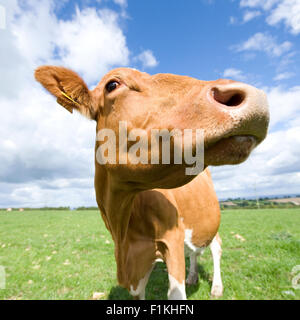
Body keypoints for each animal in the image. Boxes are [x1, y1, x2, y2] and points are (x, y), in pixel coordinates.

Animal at [35, 67, 270, 300]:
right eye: (112, 85)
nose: (254, 96)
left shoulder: (172, 241)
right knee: (195, 251)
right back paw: (193, 276)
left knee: (216, 246)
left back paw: (216, 287)